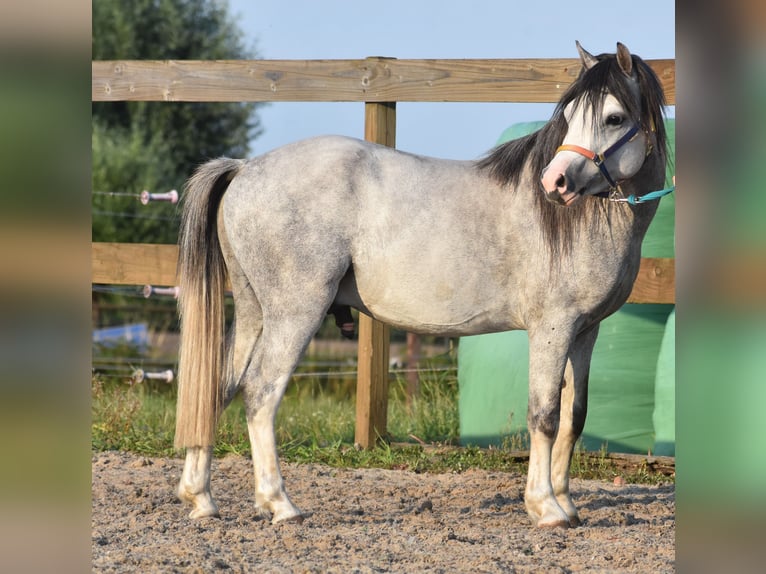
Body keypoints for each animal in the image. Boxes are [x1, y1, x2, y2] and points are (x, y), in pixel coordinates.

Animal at [174, 41, 669, 528]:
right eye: (569, 115)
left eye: (613, 118)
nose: (555, 182)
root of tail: (246, 167)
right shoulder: (553, 327)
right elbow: (544, 414)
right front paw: (545, 506)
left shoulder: (585, 331)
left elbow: (574, 417)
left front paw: (567, 503)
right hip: (294, 314)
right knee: (261, 392)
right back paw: (279, 503)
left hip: (254, 313)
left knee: (218, 387)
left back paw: (201, 497)